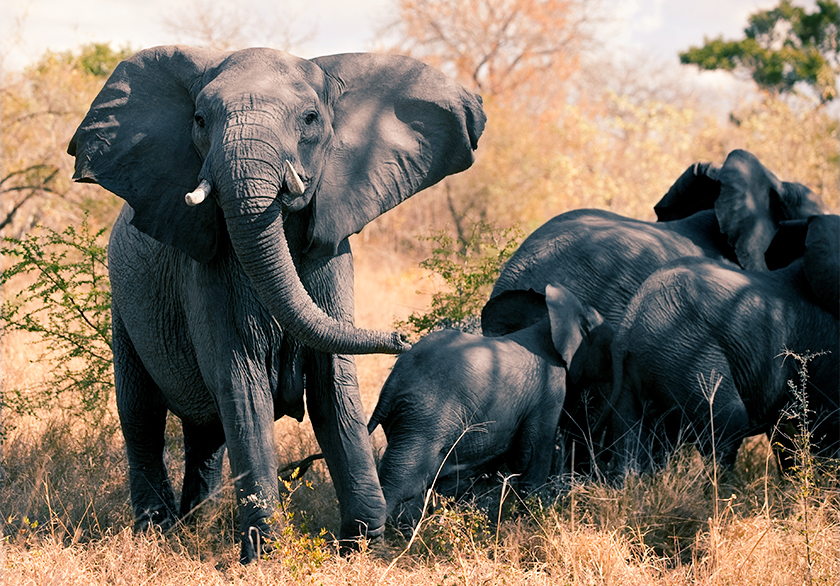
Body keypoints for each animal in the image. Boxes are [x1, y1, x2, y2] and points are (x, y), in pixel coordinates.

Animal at [69, 46, 488, 560]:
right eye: (200, 119)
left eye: (310, 119)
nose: (402, 337)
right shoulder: (207, 269)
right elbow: (241, 380)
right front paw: (266, 555)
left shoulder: (331, 251)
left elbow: (333, 384)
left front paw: (364, 548)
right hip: (124, 306)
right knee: (141, 414)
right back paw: (157, 531)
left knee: (205, 435)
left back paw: (194, 527)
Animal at [368, 282, 612, 528]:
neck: (548, 323)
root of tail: (391, 384)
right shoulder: (550, 388)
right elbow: (533, 455)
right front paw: (530, 519)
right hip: (423, 418)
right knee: (403, 479)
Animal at [612, 214, 840, 470]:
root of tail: (629, 326)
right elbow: (829, 422)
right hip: (685, 355)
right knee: (728, 424)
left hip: (642, 372)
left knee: (633, 441)